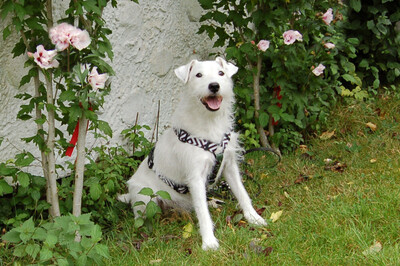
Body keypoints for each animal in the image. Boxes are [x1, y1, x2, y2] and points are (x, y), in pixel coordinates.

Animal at [120, 57, 268, 250]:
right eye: (198, 75)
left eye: (221, 73)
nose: (214, 86)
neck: (210, 122)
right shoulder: (195, 177)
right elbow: (203, 213)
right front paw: (209, 242)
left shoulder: (229, 165)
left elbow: (242, 193)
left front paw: (254, 218)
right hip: (145, 199)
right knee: (141, 216)